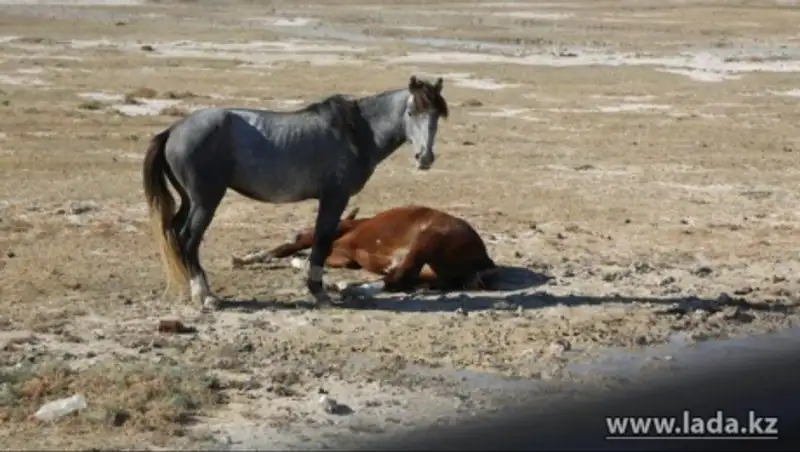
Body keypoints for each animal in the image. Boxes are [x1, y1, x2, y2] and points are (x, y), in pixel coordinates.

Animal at [142, 76, 449, 311]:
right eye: (411, 113)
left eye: (436, 115)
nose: (424, 158)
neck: (356, 133)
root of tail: (173, 130)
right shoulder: (334, 198)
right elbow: (321, 241)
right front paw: (319, 293)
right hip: (205, 201)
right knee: (188, 239)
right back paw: (205, 296)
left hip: (190, 200)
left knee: (175, 232)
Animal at [231, 205, 501, 297]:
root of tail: (484, 259)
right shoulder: (343, 256)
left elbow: (288, 249)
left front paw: (244, 259)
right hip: (433, 272)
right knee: (405, 280)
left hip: (427, 239)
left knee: (398, 278)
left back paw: (343, 287)